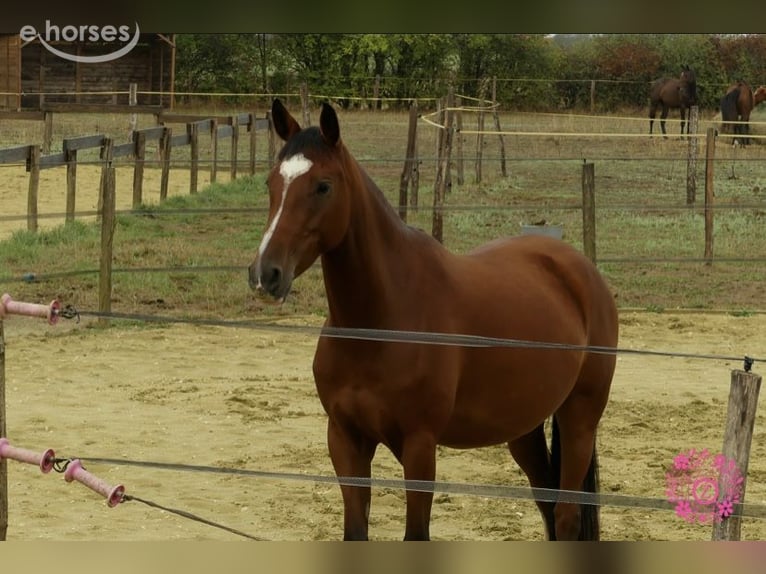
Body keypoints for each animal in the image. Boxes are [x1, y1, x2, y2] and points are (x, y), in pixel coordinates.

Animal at [248, 99, 619, 541]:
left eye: (323, 186)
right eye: (271, 183)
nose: (265, 274)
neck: (380, 323)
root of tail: (581, 269)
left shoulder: (420, 446)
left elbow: (416, 534)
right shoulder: (345, 439)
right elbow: (355, 532)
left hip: (580, 417)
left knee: (565, 515)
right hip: (524, 429)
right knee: (547, 505)